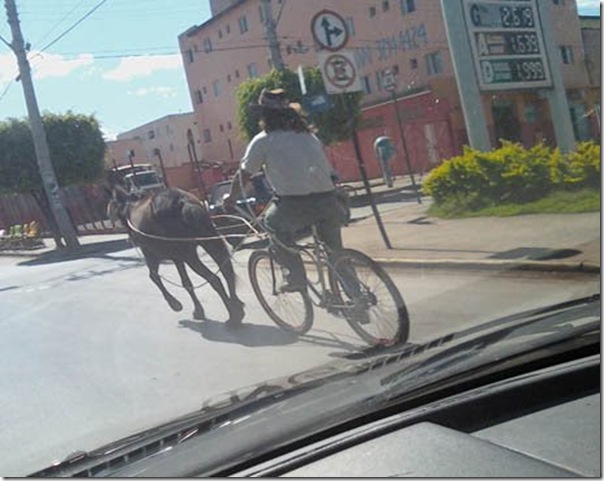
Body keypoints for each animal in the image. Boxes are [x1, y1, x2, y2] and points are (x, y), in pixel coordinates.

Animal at [107, 184, 244, 326]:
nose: (128, 238)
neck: (131, 206)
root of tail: (183, 201)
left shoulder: (150, 254)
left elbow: (154, 276)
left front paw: (175, 304)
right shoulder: (177, 257)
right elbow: (186, 283)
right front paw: (198, 311)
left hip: (190, 255)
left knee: (214, 279)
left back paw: (233, 316)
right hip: (208, 241)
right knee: (227, 271)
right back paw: (237, 307)